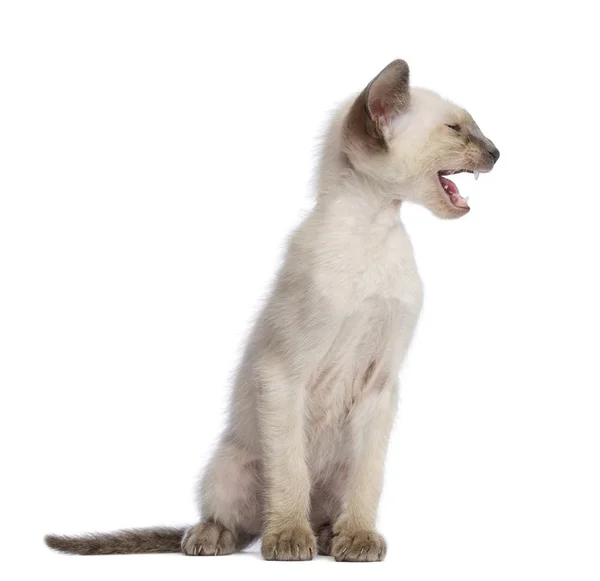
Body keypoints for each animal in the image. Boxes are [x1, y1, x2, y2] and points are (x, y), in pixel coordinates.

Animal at [45, 60, 496, 560]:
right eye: (455, 130)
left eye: (471, 128)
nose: (496, 152)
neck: (373, 229)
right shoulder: (283, 375)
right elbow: (291, 473)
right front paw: (288, 539)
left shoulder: (380, 385)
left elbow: (368, 481)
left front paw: (358, 538)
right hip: (231, 464)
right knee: (237, 521)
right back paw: (218, 537)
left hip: (337, 466)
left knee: (327, 506)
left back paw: (329, 537)